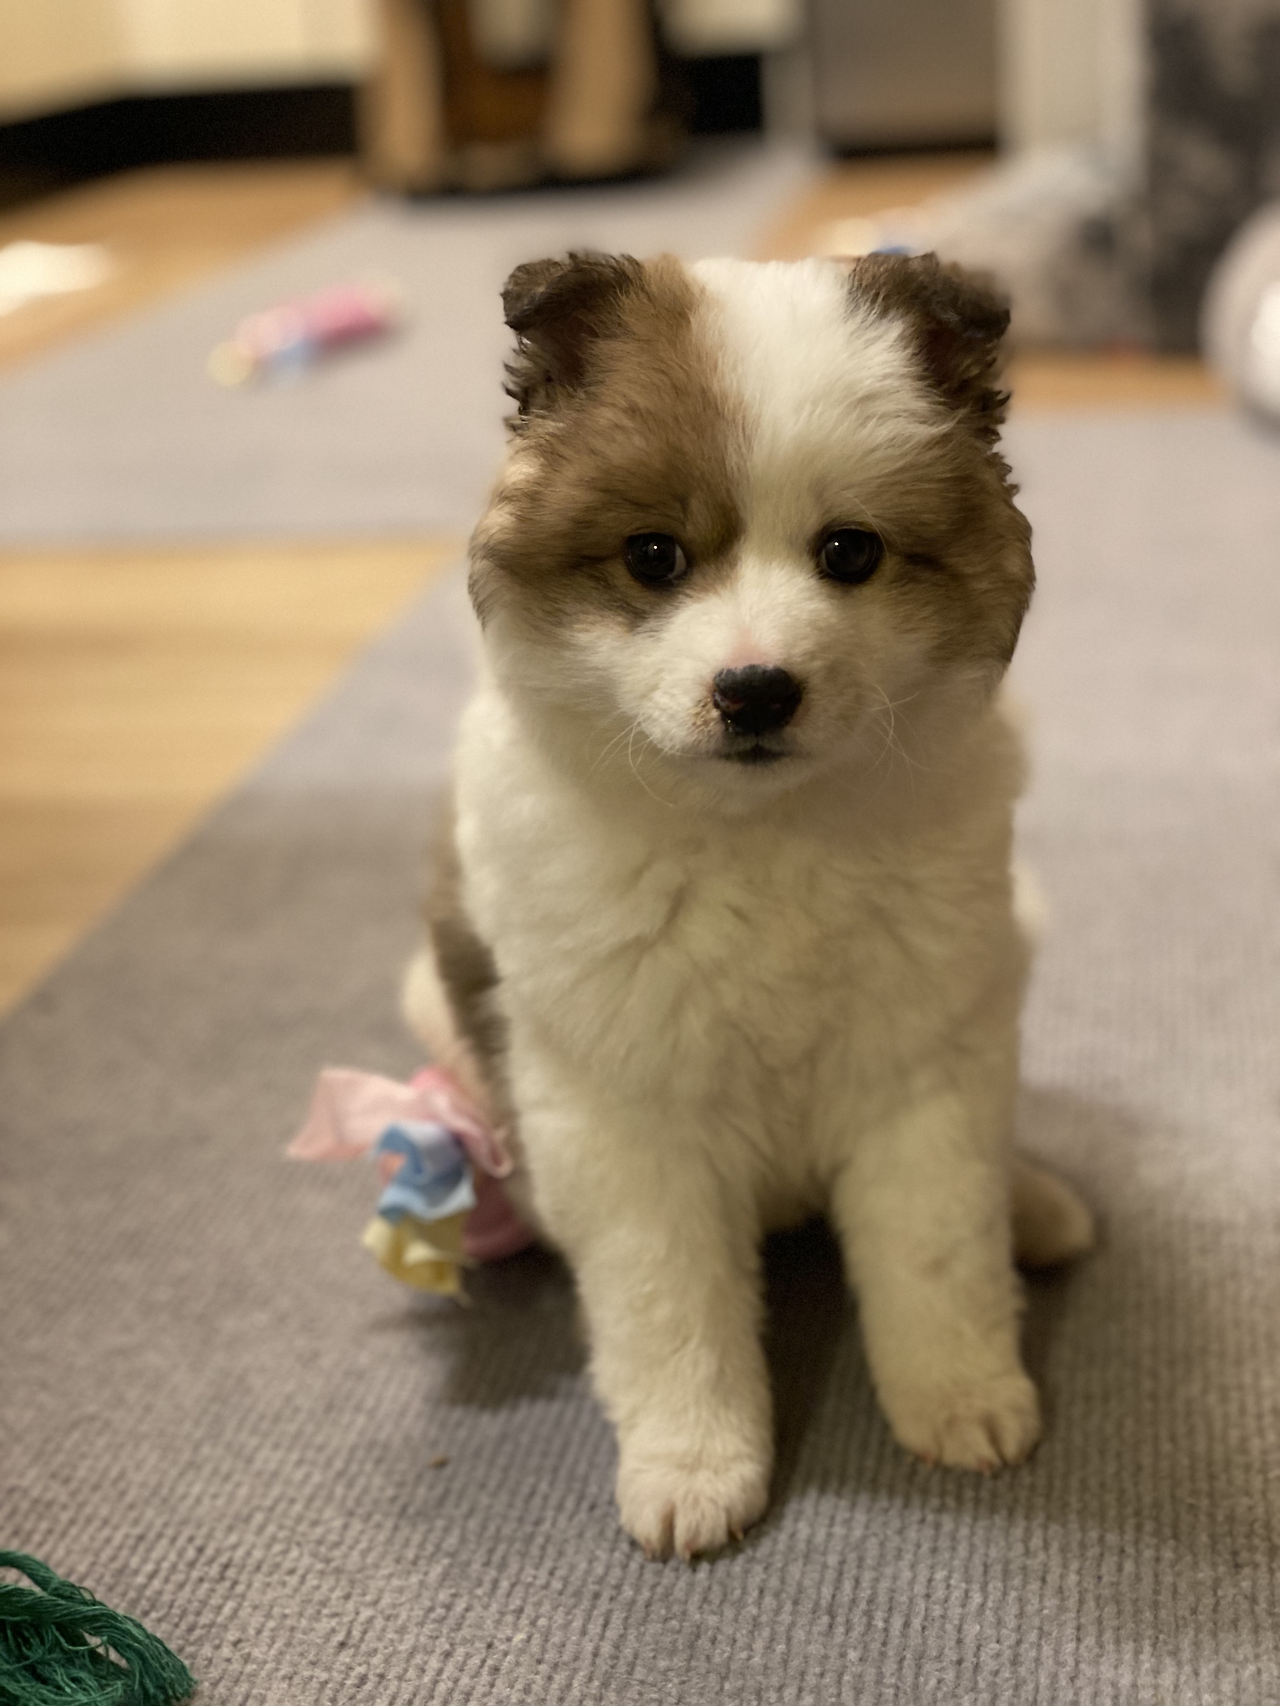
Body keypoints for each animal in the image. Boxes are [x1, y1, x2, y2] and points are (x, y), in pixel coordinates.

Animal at [405, 250, 1093, 1559]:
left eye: (849, 552)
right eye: (654, 557)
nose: (756, 689)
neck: (759, 839)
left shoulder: (920, 1064)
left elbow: (936, 1251)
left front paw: (962, 1398)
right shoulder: (622, 1114)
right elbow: (669, 1309)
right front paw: (692, 1468)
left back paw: (1034, 1203)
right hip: (432, 1004)